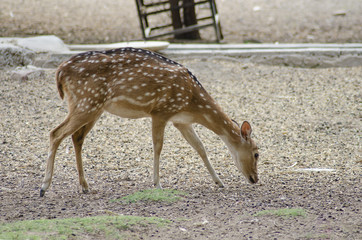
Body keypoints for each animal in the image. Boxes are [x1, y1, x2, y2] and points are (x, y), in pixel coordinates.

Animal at [39, 47, 258, 197]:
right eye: (256, 153)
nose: (255, 178)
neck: (192, 103)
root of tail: (60, 72)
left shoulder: (181, 120)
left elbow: (200, 147)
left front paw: (219, 181)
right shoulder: (161, 111)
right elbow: (158, 146)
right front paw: (157, 184)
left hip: (92, 107)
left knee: (76, 137)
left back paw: (85, 186)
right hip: (87, 101)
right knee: (55, 133)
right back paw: (44, 186)